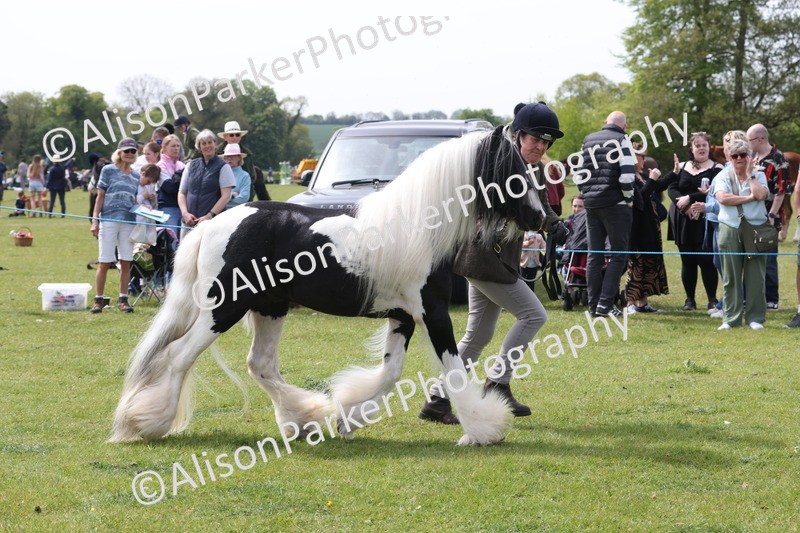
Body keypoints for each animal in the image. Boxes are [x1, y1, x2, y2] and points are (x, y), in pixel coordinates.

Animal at [109, 125, 547, 447]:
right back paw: (149, 422)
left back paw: (302, 419)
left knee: (260, 364)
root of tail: (211, 226)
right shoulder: (433, 313)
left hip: (270, 307)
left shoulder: (403, 317)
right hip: (224, 308)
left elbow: (390, 373)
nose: (543, 218)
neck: (418, 229)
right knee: (180, 356)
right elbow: (453, 370)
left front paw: (348, 417)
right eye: (513, 169)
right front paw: (484, 430)